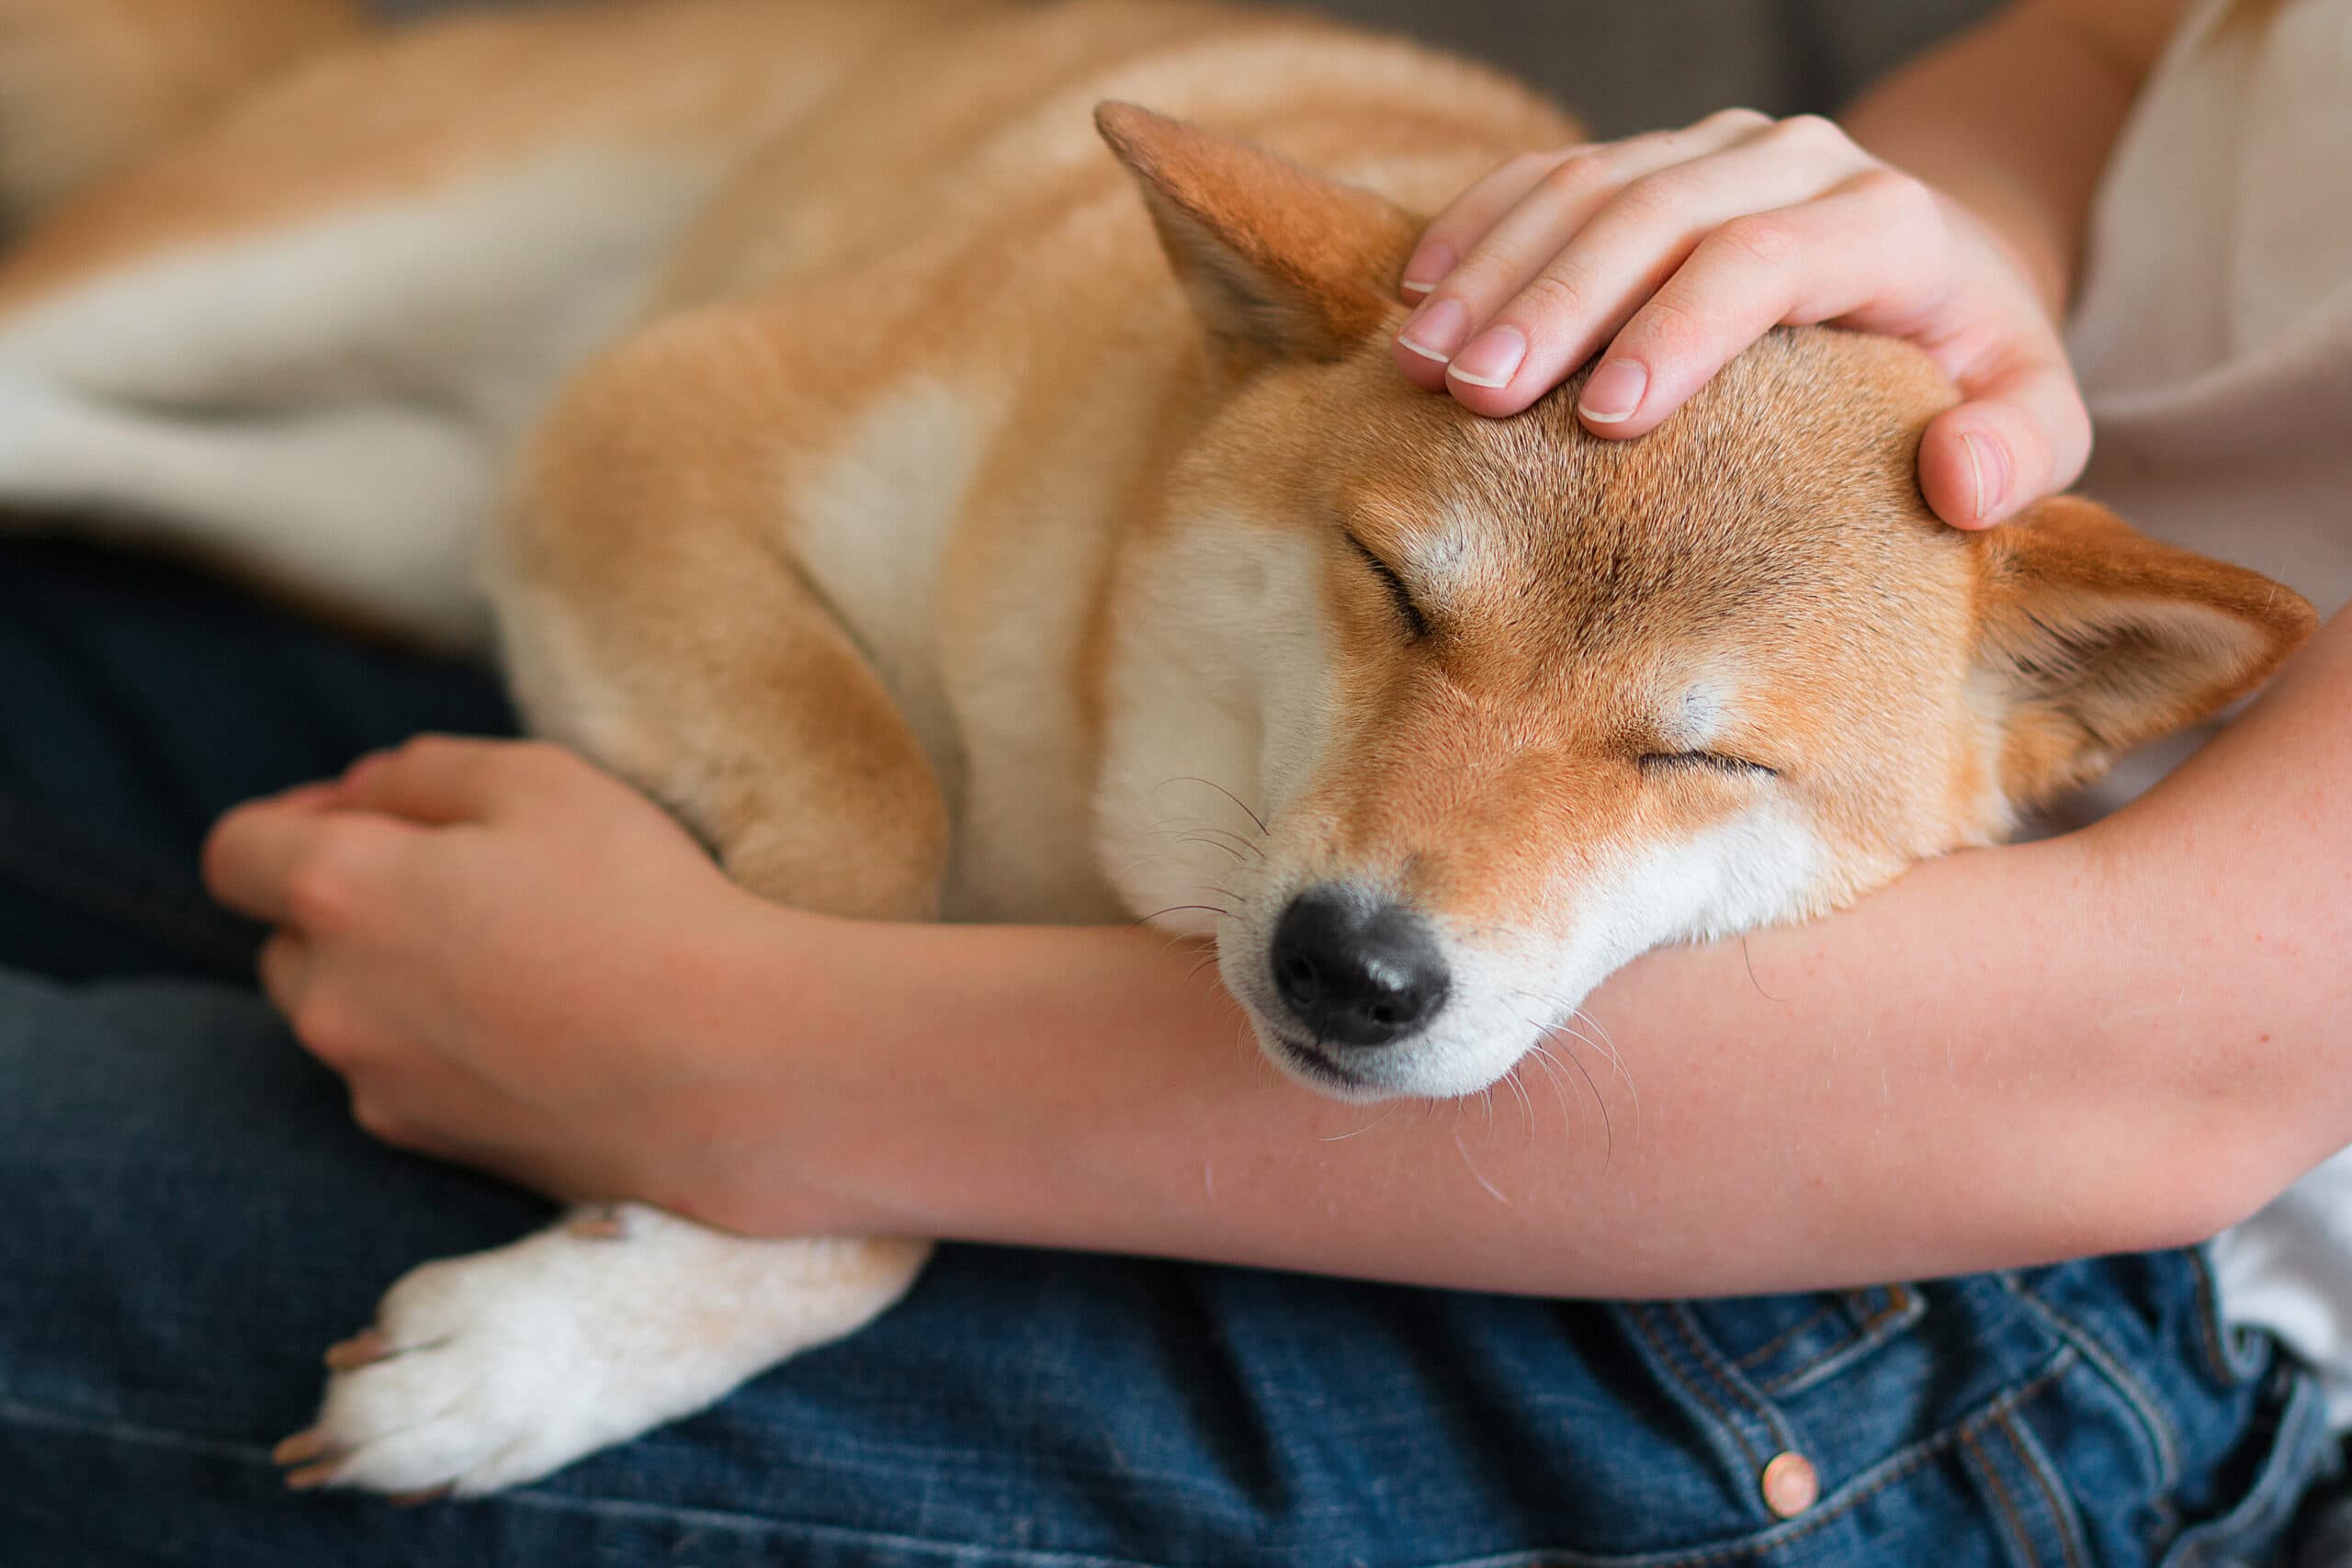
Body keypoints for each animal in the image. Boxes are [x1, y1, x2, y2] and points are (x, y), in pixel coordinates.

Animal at [0, 0, 2314, 1504]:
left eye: (1702, 763)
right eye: (1394, 590)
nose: (1351, 968)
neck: (1080, 777)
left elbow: (829, 1124)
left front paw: (572, 1332)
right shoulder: (660, 420)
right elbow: (862, 835)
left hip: (390, 502)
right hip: (311, 263)